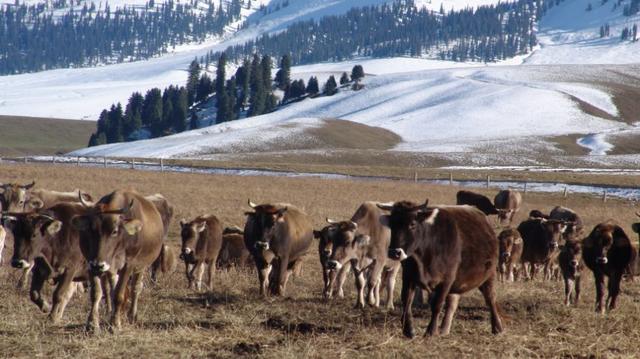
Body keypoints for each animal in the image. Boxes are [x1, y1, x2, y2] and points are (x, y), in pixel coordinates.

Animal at [71, 191, 165, 332]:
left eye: (114, 231)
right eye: (91, 229)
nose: (99, 265)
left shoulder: (128, 265)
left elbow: (119, 295)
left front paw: (115, 324)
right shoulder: (91, 263)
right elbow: (96, 293)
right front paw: (92, 324)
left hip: (140, 267)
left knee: (135, 288)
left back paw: (132, 315)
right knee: (110, 288)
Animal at [380, 201, 504, 338]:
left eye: (412, 224)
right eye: (392, 224)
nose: (394, 252)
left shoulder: (446, 280)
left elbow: (437, 304)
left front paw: (431, 331)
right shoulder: (408, 277)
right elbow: (406, 301)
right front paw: (408, 330)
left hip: (488, 276)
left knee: (490, 298)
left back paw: (497, 327)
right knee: (452, 303)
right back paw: (444, 329)